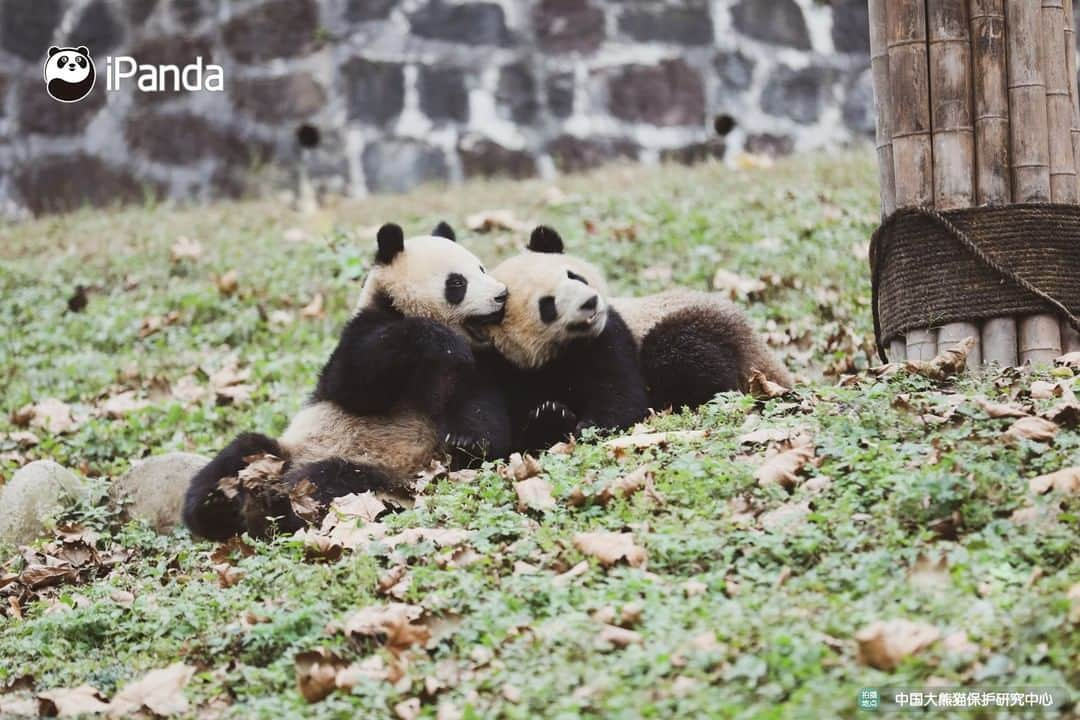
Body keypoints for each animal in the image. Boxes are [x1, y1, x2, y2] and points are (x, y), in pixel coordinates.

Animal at [182, 222, 509, 537]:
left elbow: (483, 407)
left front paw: (465, 439)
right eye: (457, 282)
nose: (501, 295)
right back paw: (215, 507)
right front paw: (435, 336)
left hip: (382, 473)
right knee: (238, 455)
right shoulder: (363, 331)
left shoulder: (485, 364)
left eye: (482, 268)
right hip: (287, 448)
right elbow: (355, 385)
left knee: (332, 480)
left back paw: (268, 506)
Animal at [494, 223, 790, 416]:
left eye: (574, 276)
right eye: (547, 305)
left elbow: (622, 394)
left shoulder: (611, 335)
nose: (589, 302)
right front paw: (550, 416)